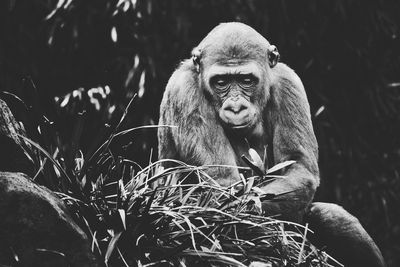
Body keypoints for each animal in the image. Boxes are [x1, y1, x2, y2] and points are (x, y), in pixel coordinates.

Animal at [158, 23, 386, 267]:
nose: (236, 107)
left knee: (333, 218)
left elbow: (298, 167)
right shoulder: (185, 92)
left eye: (246, 80)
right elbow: (221, 184)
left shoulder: (289, 83)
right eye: (221, 82)